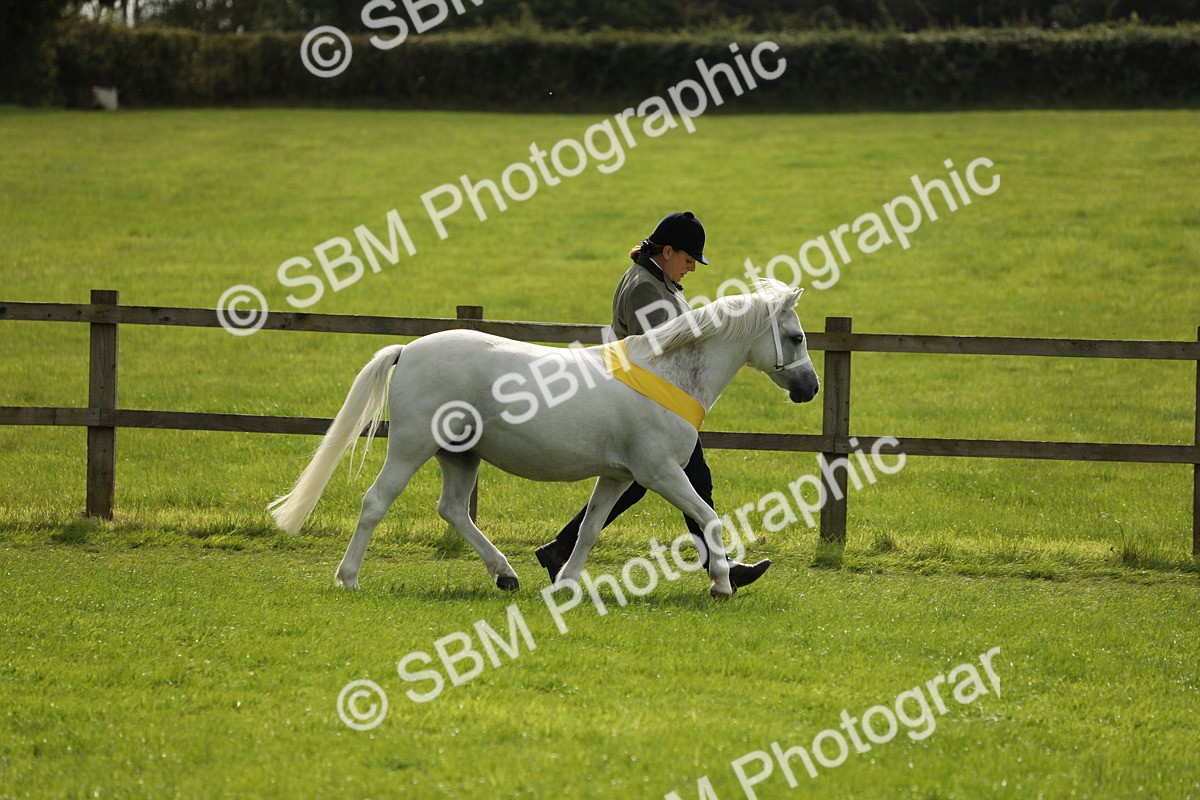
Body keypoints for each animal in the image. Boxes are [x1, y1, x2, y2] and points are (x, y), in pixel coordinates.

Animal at [268, 279, 820, 598]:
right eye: (795, 337)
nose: (810, 387)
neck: (668, 375)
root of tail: (409, 350)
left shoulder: (618, 477)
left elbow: (591, 528)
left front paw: (567, 583)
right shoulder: (660, 472)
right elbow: (707, 517)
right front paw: (723, 583)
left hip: (460, 455)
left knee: (453, 510)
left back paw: (506, 575)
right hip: (410, 447)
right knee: (375, 502)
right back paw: (349, 578)